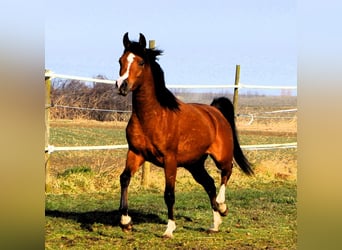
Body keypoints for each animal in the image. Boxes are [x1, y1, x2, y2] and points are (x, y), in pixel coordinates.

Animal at [116, 33, 252, 238]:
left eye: (140, 62)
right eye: (120, 61)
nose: (121, 86)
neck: (153, 116)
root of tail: (215, 112)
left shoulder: (169, 160)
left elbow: (169, 194)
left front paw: (169, 229)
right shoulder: (136, 153)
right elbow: (124, 178)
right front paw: (126, 222)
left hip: (221, 155)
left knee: (226, 172)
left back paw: (222, 206)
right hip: (194, 164)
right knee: (209, 183)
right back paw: (215, 224)